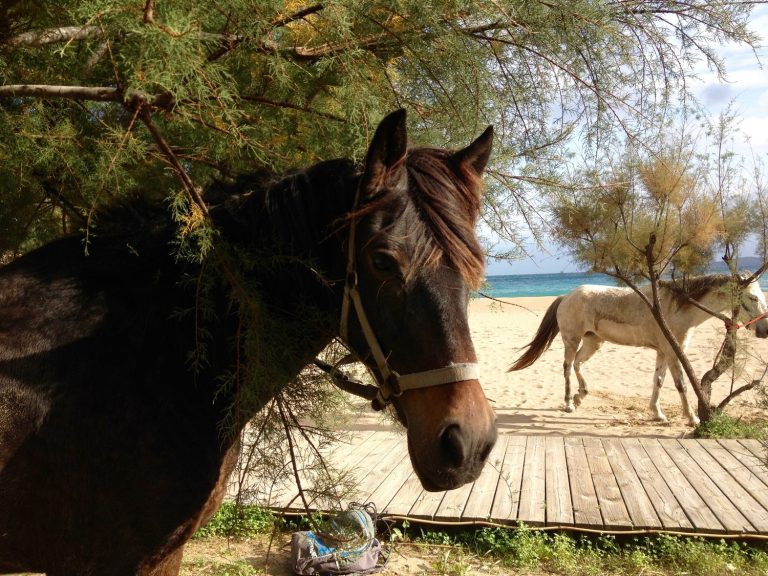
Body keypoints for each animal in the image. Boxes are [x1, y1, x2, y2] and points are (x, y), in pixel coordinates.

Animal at [509, 274, 768, 425]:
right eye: (753, 297)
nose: (764, 329)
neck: (676, 307)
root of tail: (566, 296)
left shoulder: (663, 352)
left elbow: (658, 381)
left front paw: (658, 414)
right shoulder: (673, 353)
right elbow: (681, 385)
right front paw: (692, 418)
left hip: (593, 341)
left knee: (578, 364)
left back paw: (581, 395)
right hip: (572, 340)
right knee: (567, 367)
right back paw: (569, 403)